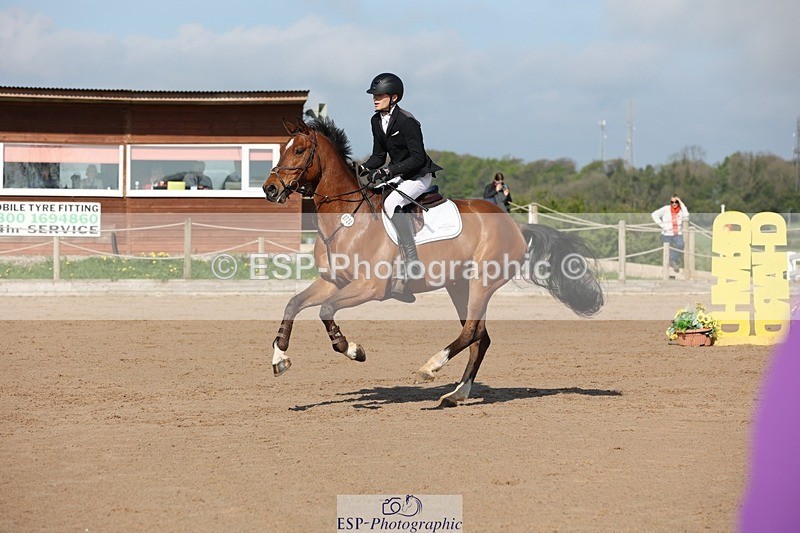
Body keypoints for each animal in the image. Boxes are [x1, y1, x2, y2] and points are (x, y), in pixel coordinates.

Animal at [262, 116, 604, 408]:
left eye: (300, 150)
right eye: (281, 148)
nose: (270, 189)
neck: (347, 219)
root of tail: (516, 227)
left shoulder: (369, 287)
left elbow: (326, 310)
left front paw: (353, 350)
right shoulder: (333, 281)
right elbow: (294, 304)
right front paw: (280, 360)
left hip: (481, 282)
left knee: (472, 332)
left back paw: (430, 368)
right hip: (459, 285)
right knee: (480, 336)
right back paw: (456, 394)